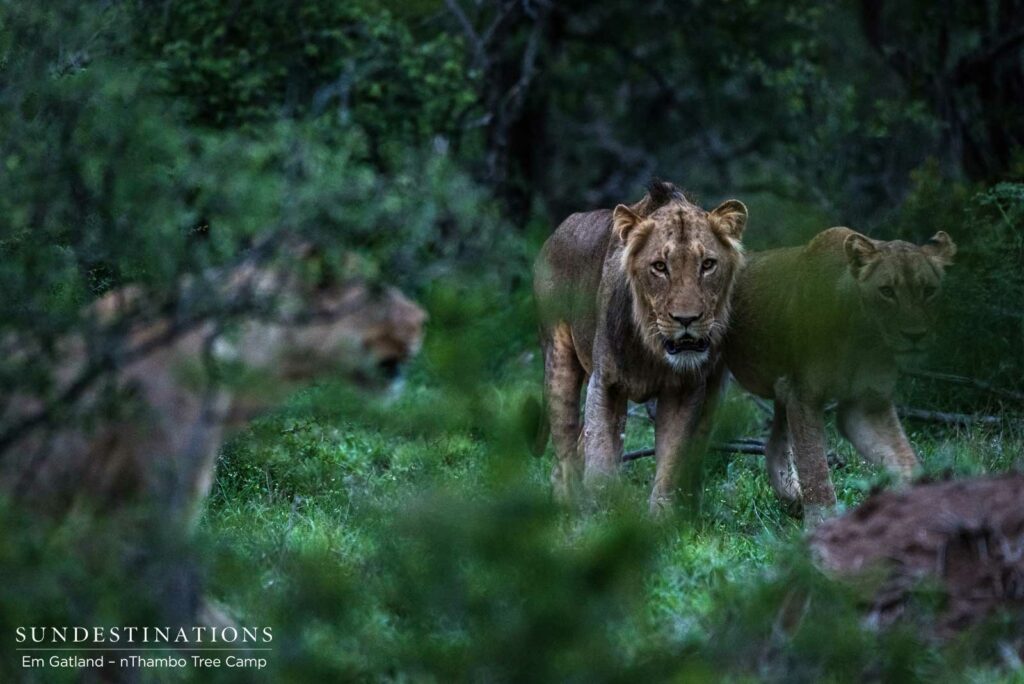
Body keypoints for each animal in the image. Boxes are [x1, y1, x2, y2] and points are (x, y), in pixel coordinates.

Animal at [533, 181, 748, 511]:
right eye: (659, 267)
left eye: (708, 265)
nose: (687, 319)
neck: (652, 348)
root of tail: (557, 232)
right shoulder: (606, 383)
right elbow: (600, 461)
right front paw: (601, 514)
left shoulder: (686, 389)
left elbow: (672, 460)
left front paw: (663, 515)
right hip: (559, 361)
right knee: (567, 450)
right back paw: (568, 504)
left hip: (714, 392)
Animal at [724, 227, 957, 521]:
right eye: (887, 291)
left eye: (928, 290)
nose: (914, 335)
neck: (863, 339)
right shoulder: (804, 395)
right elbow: (815, 468)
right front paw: (822, 521)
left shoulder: (865, 405)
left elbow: (903, 459)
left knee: (774, 443)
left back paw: (792, 498)